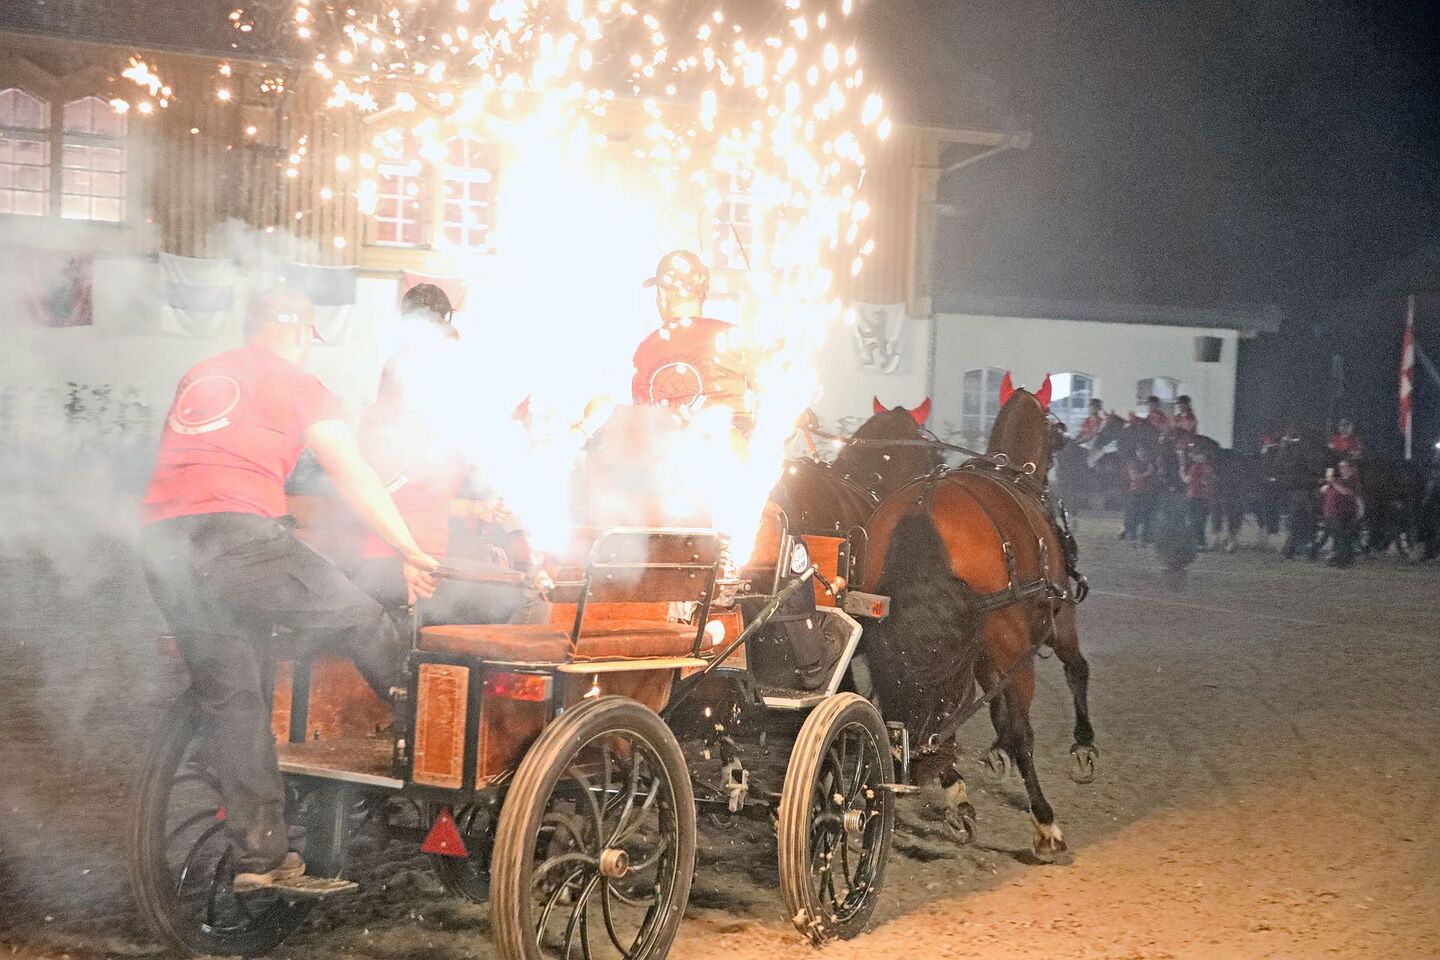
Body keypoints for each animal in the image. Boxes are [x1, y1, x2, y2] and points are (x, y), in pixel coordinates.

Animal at [858, 385, 1096, 859]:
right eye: (1056, 432)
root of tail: (923, 508)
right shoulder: (1055, 618)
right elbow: (1075, 669)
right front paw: (1084, 744)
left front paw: (992, 753)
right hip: (1008, 637)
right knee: (1021, 730)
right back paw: (1045, 823)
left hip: (900, 644)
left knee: (917, 720)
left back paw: (954, 795)